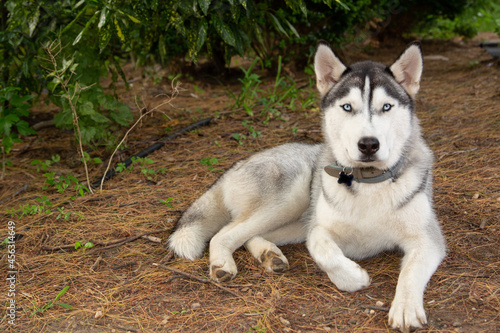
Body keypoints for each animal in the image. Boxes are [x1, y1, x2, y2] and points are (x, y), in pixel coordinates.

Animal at [168, 42, 446, 330]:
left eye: (387, 106)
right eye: (347, 107)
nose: (368, 144)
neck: (368, 182)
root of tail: (235, 165)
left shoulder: (428, 239)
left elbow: (411, 272)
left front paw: (405, 308)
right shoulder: (318, 229)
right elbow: (325, 253)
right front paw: (353, 277)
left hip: (294, 220)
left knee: (248, 236)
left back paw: (269, 254)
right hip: (290, 197)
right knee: (224, 234)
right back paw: (222, 264)